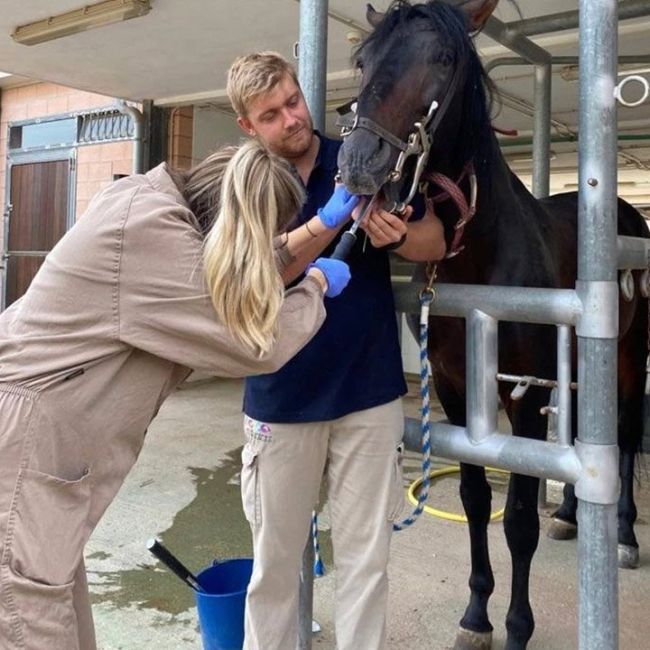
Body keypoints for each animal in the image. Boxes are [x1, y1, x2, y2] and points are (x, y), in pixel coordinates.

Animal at [336, 1, 649, 649]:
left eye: (443, 58)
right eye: (363, 59)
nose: (359, 164)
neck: (479, 255)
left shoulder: (524, 396)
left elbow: (519, 520)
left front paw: (517, 626)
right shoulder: (458, 390)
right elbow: (477, 500)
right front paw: (477, 614)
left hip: (632, 355)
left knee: (627, 438)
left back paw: (625, 537)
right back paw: (570, 517)